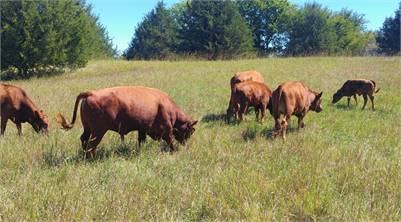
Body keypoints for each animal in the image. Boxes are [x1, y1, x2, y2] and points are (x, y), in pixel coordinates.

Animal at [57, 86, 198, 157]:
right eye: (191, 130)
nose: (185, 144)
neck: (168, 106)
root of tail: (91, 93)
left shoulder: (142, 130)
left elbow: (141, 141)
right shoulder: (166, 130)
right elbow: (170, 141)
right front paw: (174, 152)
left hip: (88, 129)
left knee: (84, 140)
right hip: (98, 131)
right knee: (91, 144)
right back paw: (93, 158)